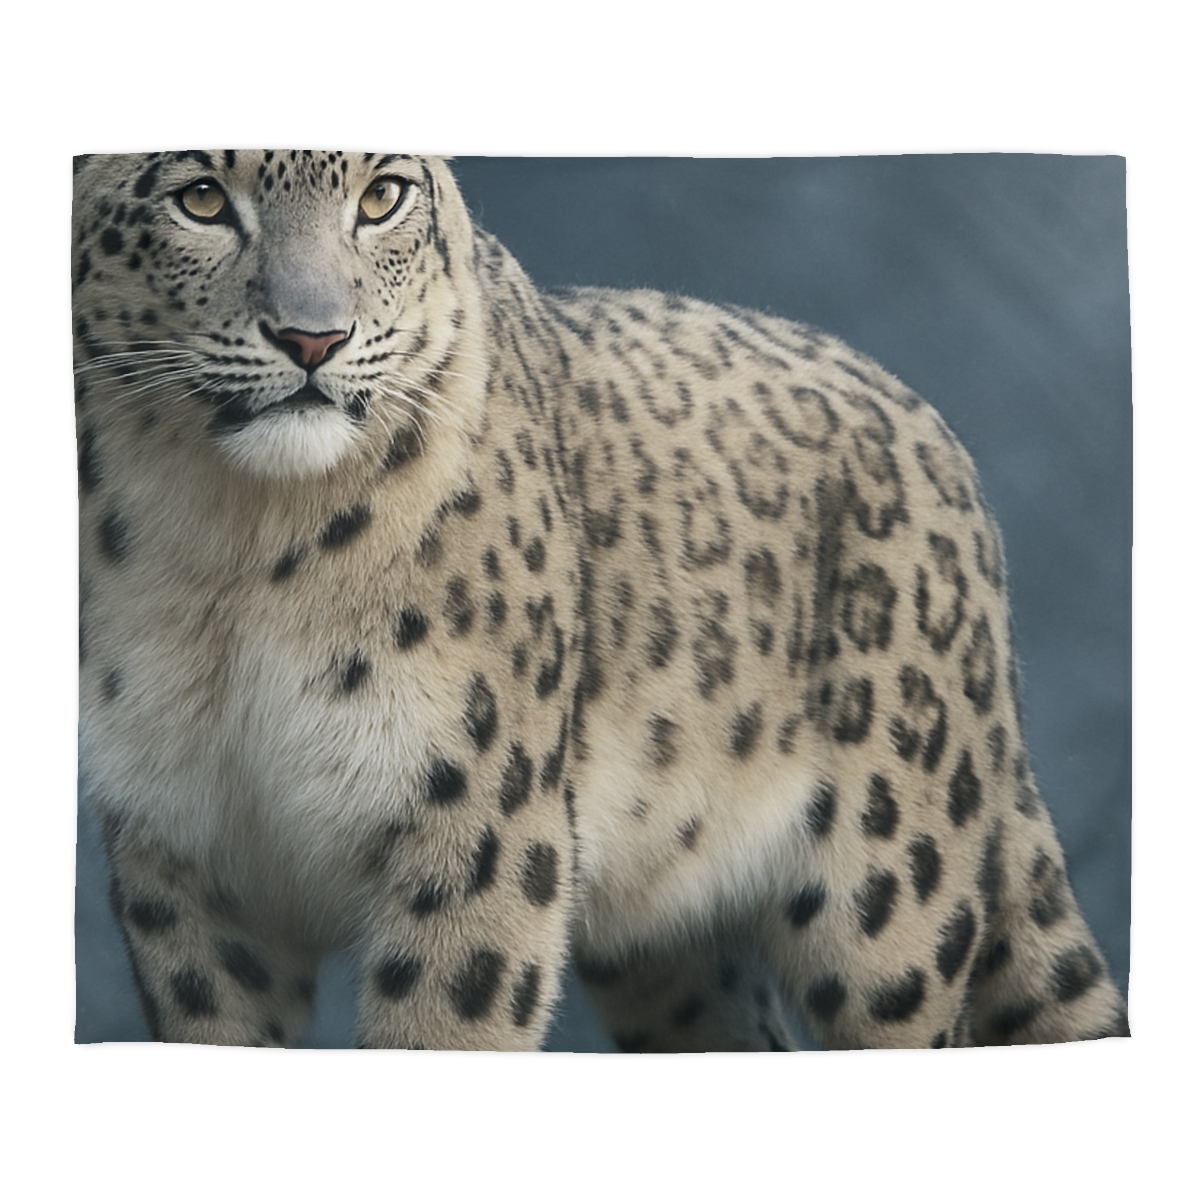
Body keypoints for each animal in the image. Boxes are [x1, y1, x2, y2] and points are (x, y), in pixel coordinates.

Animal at [73, 151, 1129, 1050]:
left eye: (381, 196)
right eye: (200, 197)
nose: (312, 337)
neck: (236, 546)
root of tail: (940, 441)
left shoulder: (477, 823)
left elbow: (444, 1029)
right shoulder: (186, 855)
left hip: (891, 907)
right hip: (670, 958)